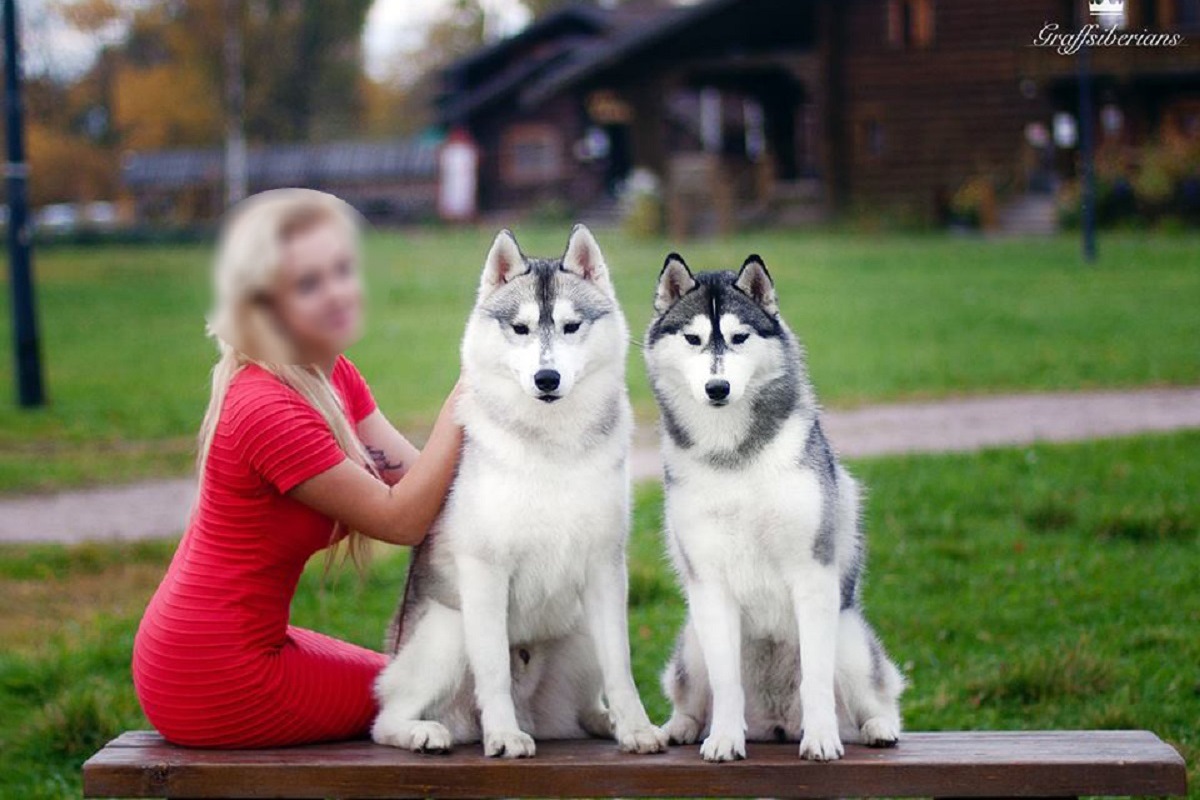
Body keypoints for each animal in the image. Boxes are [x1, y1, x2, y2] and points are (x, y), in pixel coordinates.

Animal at [372, 224, 667, 758]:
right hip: (450, 630)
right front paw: (505, 736)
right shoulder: (485, 572)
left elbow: (621, 667)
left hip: (580, 629)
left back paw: (604, 721)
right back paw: (425, 732)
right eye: (522, 329)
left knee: (585, 706)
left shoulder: (605, 569)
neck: (552, 444)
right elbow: (493, 672)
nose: (546, 378)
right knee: (385, 718)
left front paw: (636, 728)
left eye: (571, 327)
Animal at [648, 255, 902, 762]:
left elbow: (816, 678)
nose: (718, 387)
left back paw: (876, 728)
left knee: (878, 698)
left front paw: (821, 738)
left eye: (740, 337)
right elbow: (726, 683)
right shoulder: (710, 583)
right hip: (692, 642)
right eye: (693, 339)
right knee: (691, 698)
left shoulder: (813, 574)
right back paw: (679, 728)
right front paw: (724, 739)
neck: (733, 455)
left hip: (849, 639)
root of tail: (777, 725)